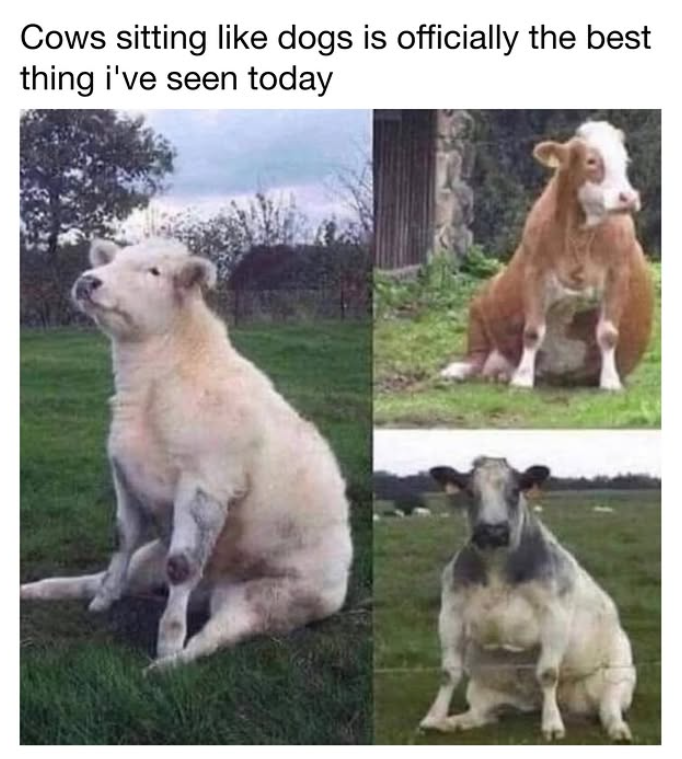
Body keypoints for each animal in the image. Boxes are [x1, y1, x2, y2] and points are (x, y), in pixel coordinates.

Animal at [20, 239, 353, 673]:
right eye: (113, 260)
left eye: (154, 271)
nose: (88, 281)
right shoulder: (124, 474)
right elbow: (121, 539)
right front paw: (104, 601)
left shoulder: (206, 481)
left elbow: (182, 566)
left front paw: (167, 642)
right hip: (151, 561)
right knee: (103, 577)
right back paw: (39, 590)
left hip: (268, 599)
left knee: (216, 635)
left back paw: (166, 667)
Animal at [420, 457, 635, 741]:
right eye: (470, 492)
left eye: (514, 491)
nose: (493, 531)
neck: (497, 568)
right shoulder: (450, 614)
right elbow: (448, 673)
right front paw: (433, 718)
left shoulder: (555, 615)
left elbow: (548, 673)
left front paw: (552, 725)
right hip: (483, 688)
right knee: (480, 713)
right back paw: (453, 722)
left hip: (618, 675)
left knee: (608, 708)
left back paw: (617, 729)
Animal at [441, 121, 654, 391]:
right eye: (591, 161)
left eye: (625, 160)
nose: (628, 198)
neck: (579, 237)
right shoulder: (534, 272)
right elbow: (532, 331)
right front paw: (522, 379)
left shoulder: (618, 275)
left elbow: (608, 333)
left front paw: (610, 382)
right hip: (480, 303)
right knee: (477, 354)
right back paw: (459, 370)